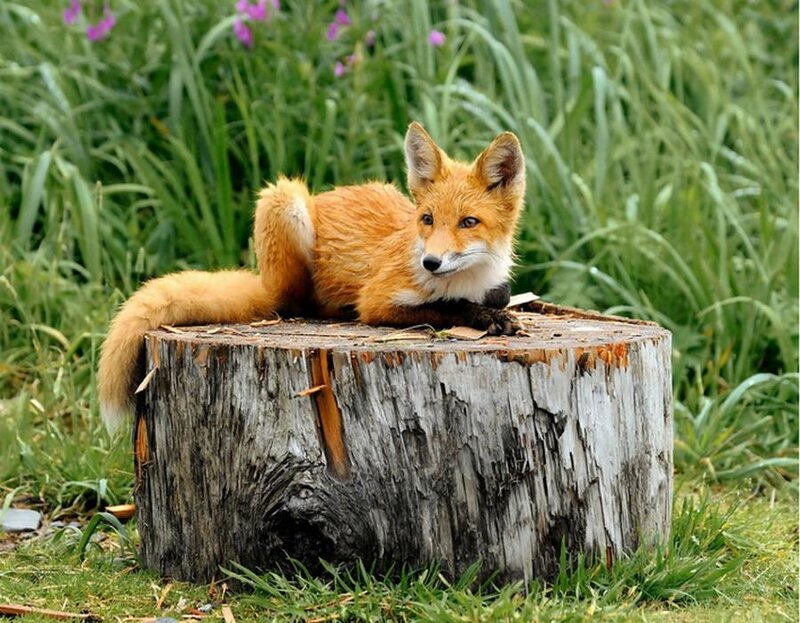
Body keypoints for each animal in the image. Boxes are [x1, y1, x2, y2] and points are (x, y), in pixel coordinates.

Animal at [98, 122, 526, 433]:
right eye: (427, 219)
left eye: (468, 222)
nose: (431, 263)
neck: (470, 278)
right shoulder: (378, 302)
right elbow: (445, 305)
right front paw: (484, 317)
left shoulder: (490, 285)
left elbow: (496, 295)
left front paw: (497, 309)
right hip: (284, 200)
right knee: (296, 302)